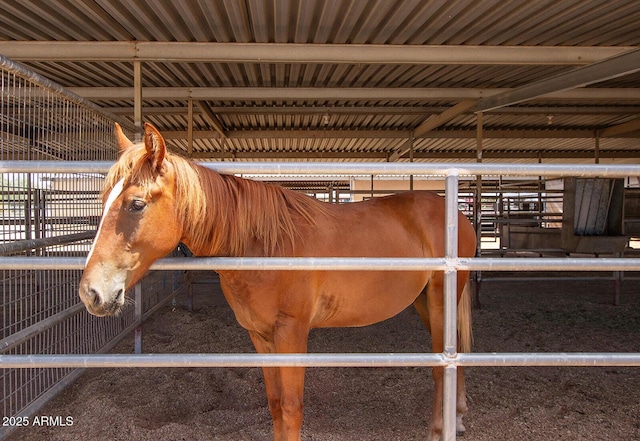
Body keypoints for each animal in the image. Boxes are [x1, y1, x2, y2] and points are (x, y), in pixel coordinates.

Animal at [79, 121, 476, 440]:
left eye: (137, 204)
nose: (90, 292)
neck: (264, 247)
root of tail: (456, 214)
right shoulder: (260, 335)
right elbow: (273, 404)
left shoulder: (292, 333)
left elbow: (291, 407)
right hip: (424, 302)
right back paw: (457, 418)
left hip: (440, 300)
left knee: (443, 365)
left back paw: (439, 430)